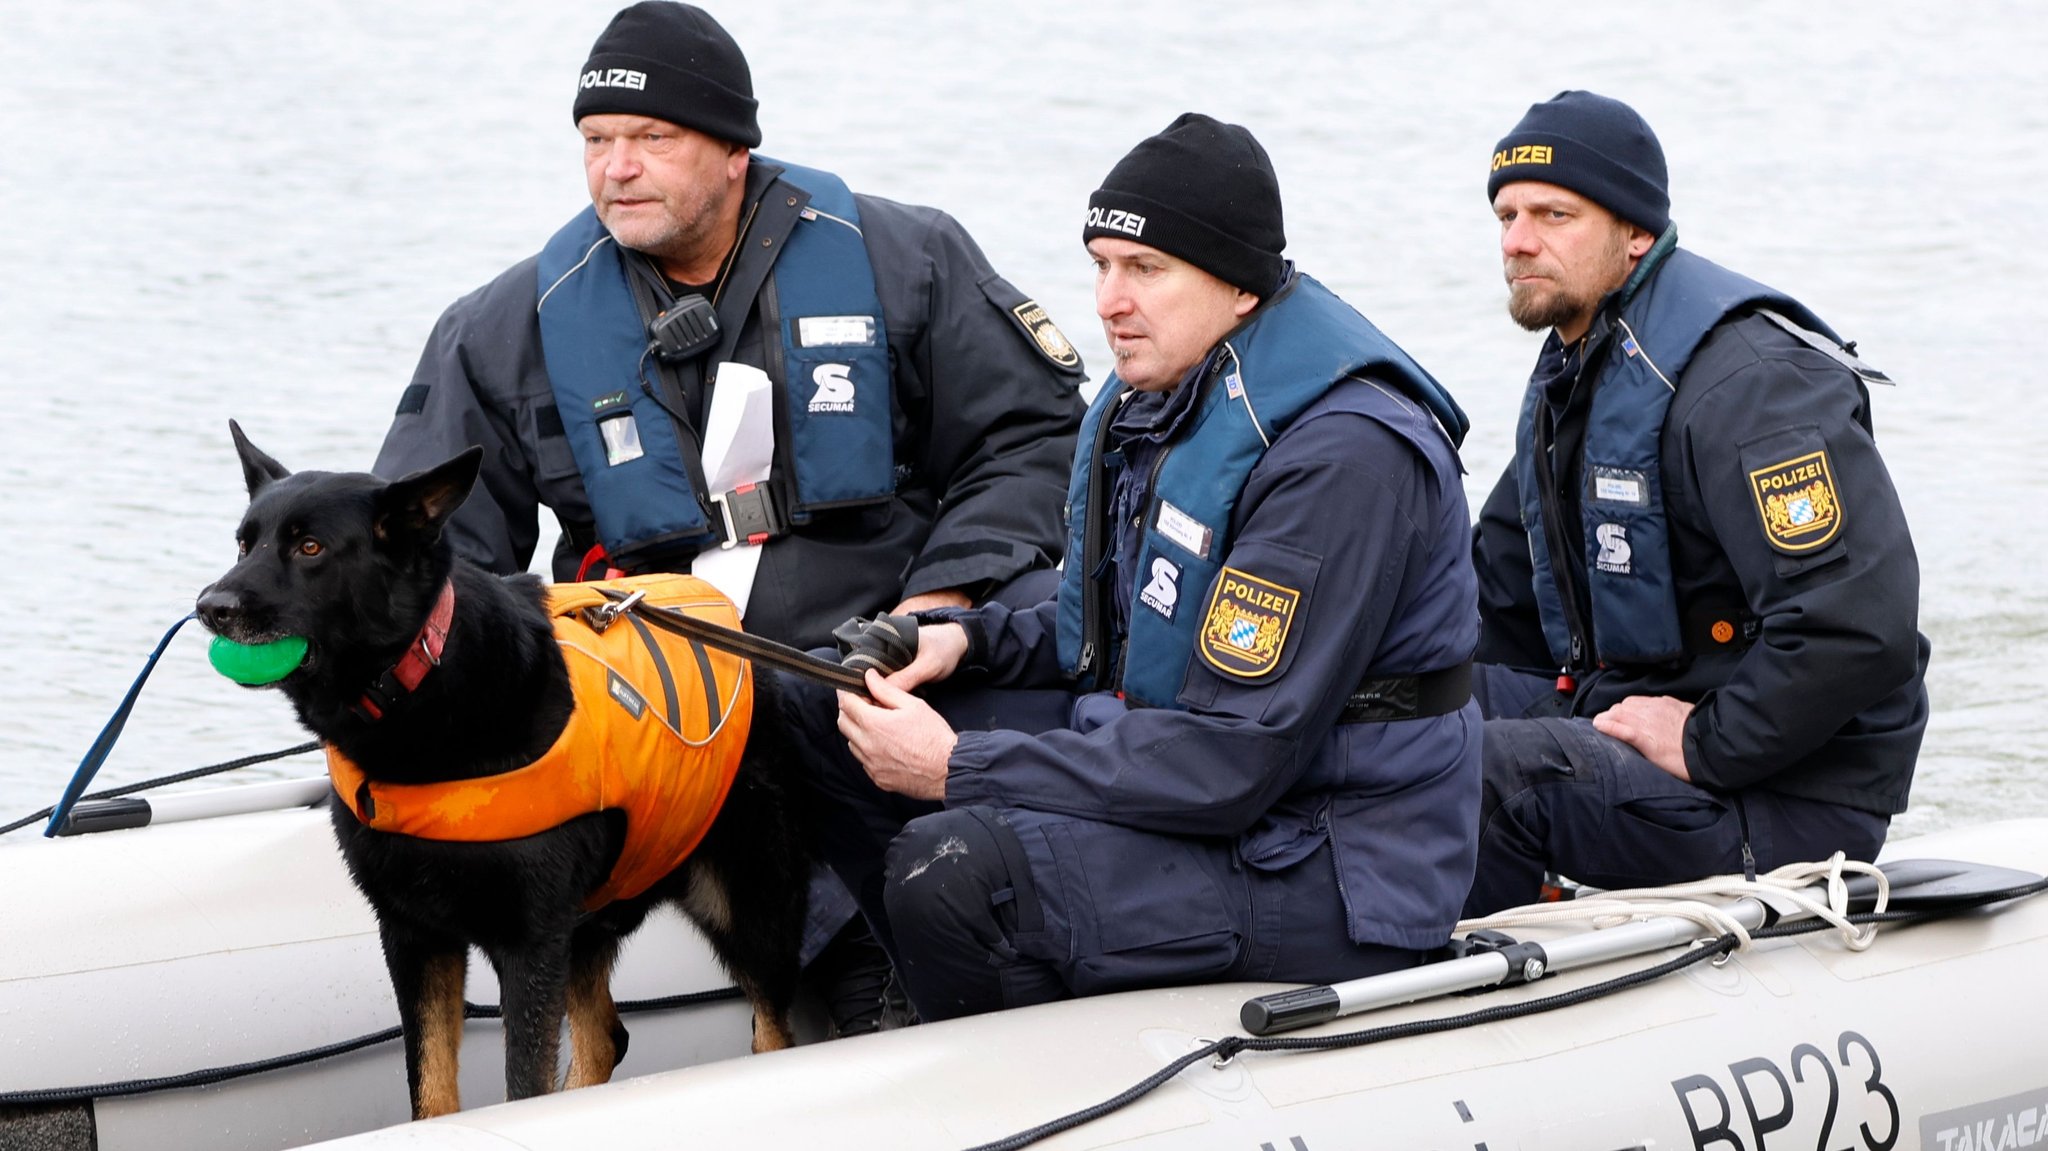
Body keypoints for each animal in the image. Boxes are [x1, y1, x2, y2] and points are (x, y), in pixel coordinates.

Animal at [197, 421, 806, 1114]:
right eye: (244, 542)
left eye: (309, 547)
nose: (210, 606)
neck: (421, 684)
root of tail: (761, 655)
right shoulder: (414, 934)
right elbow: (432, 1090)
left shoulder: (528, 941)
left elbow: (524, 1085)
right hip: (591, 923)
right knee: (605, 1038)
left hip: (746, 910)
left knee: (772, 1030)